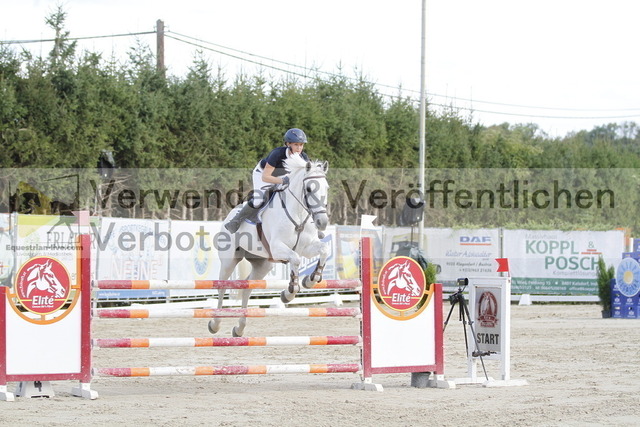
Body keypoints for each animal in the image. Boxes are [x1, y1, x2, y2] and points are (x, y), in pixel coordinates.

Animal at [209, 154, 331, 337]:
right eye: (309, 189)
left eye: (327, 188)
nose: (322, 222)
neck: (297, 213)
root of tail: (228, 216)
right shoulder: (278, 248)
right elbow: (295, 259)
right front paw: (290, 292)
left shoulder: (306, 248)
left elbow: (324, 250)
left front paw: (310, 280)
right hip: (229, 261)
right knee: (222, 287)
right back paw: (215, 324)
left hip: (263, 265)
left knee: (247, 288)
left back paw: (239, 328)